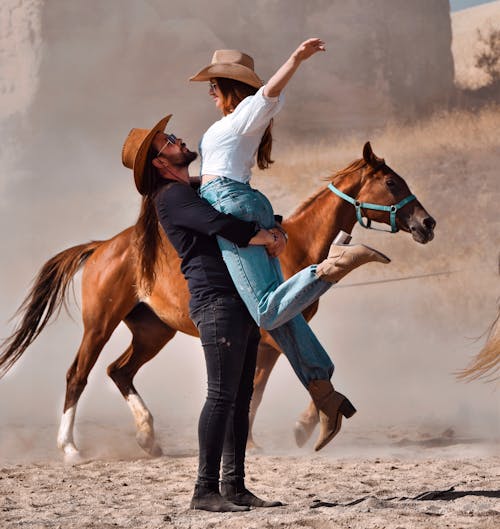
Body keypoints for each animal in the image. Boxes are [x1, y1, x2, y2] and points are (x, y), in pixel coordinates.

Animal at [0, 143, 434, 458]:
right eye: (392, 182)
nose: (427, 223)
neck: (296, 248)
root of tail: (102, 246)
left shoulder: (269, 340)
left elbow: (258, 390)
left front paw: (269, 437)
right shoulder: (273, 334)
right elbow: (276, 382)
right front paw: (298, 429)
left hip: (153, 333)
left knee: (118, 371)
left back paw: (148, 438)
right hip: (100, 325)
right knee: (78, 374)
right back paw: (71, 448)